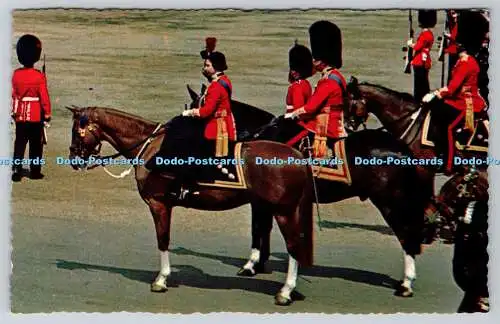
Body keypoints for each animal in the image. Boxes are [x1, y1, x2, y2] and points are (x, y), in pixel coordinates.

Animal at [64, 105, 312, 306]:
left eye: (76, 131)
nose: (74, 160)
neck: (150, 147)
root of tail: (297, 155)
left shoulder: (159, 204)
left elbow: (163, 239)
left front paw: (161, 279)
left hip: (284, 212)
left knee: (293, 247)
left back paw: (285, 292)